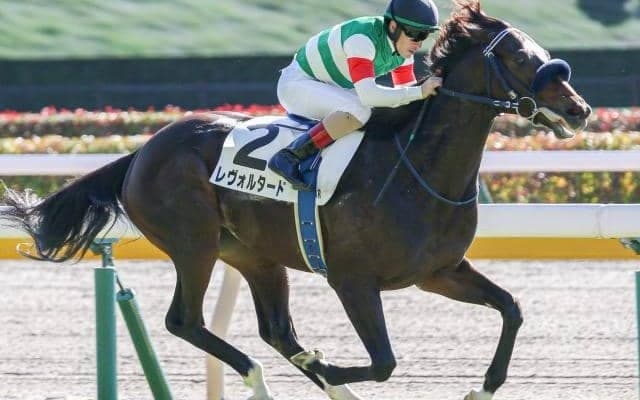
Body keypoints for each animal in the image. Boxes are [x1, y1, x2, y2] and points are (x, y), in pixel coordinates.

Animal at [1, 1, 591, 399]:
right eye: (517, 55)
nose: (579, 109)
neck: (417, 171)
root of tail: (143, 150)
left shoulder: (438, 270)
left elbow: (511, 308)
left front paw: (482, 386)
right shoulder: (352, 279)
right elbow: (384, 362)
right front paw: (330, 366)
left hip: (254, 254)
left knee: (276, 331)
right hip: (194, 245)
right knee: (185, 322)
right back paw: (271, 378)